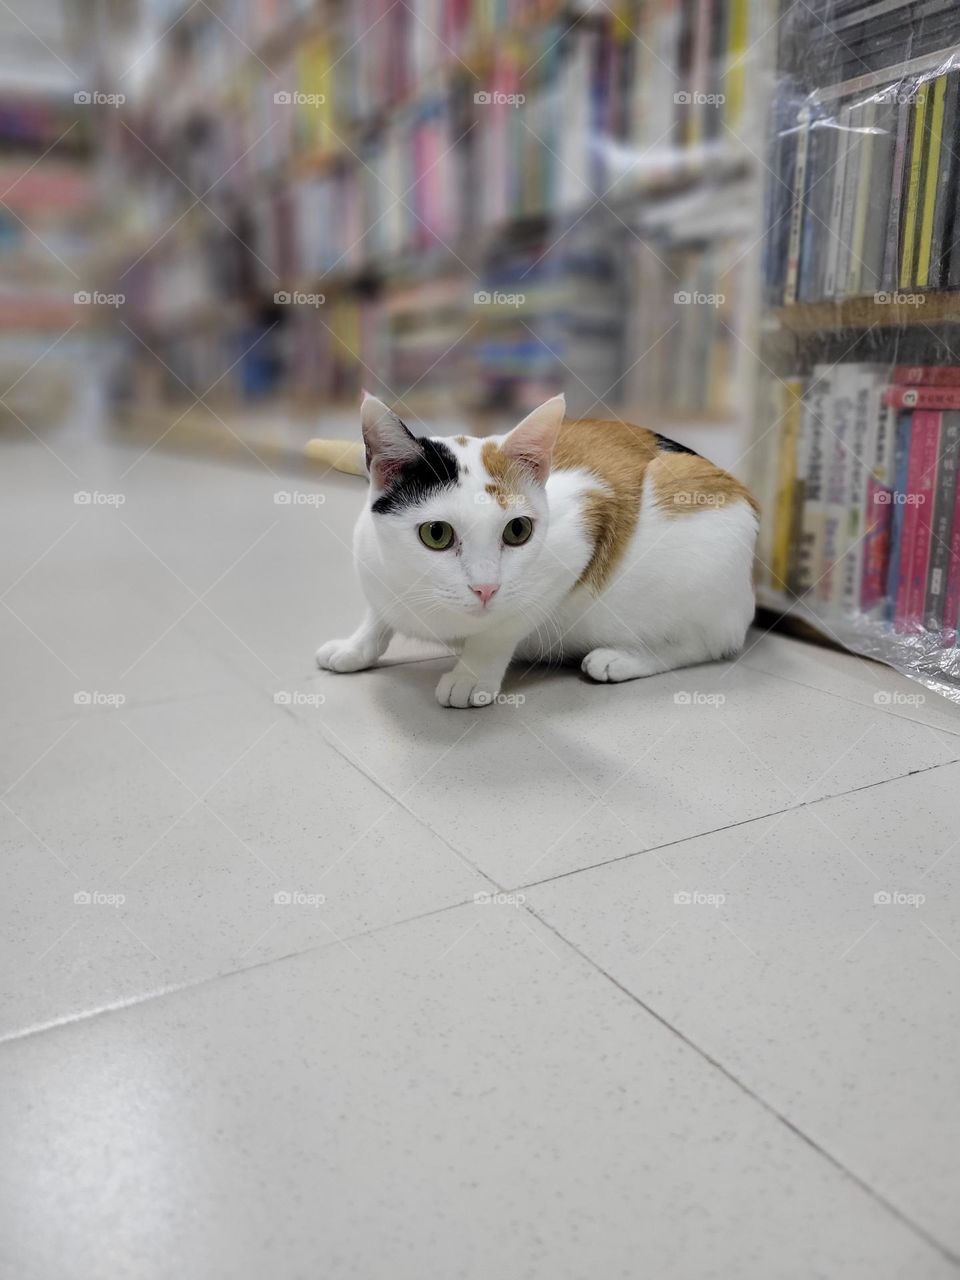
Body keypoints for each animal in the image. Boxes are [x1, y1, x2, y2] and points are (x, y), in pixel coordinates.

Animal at [320, 391, 762, 711]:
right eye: (436, 534)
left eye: (518, 531)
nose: (486, 589)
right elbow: (378, 616)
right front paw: (355, 648)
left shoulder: (581, 532)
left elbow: (503, 626)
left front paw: (472, 675)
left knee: (708, 643)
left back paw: (621, 659)